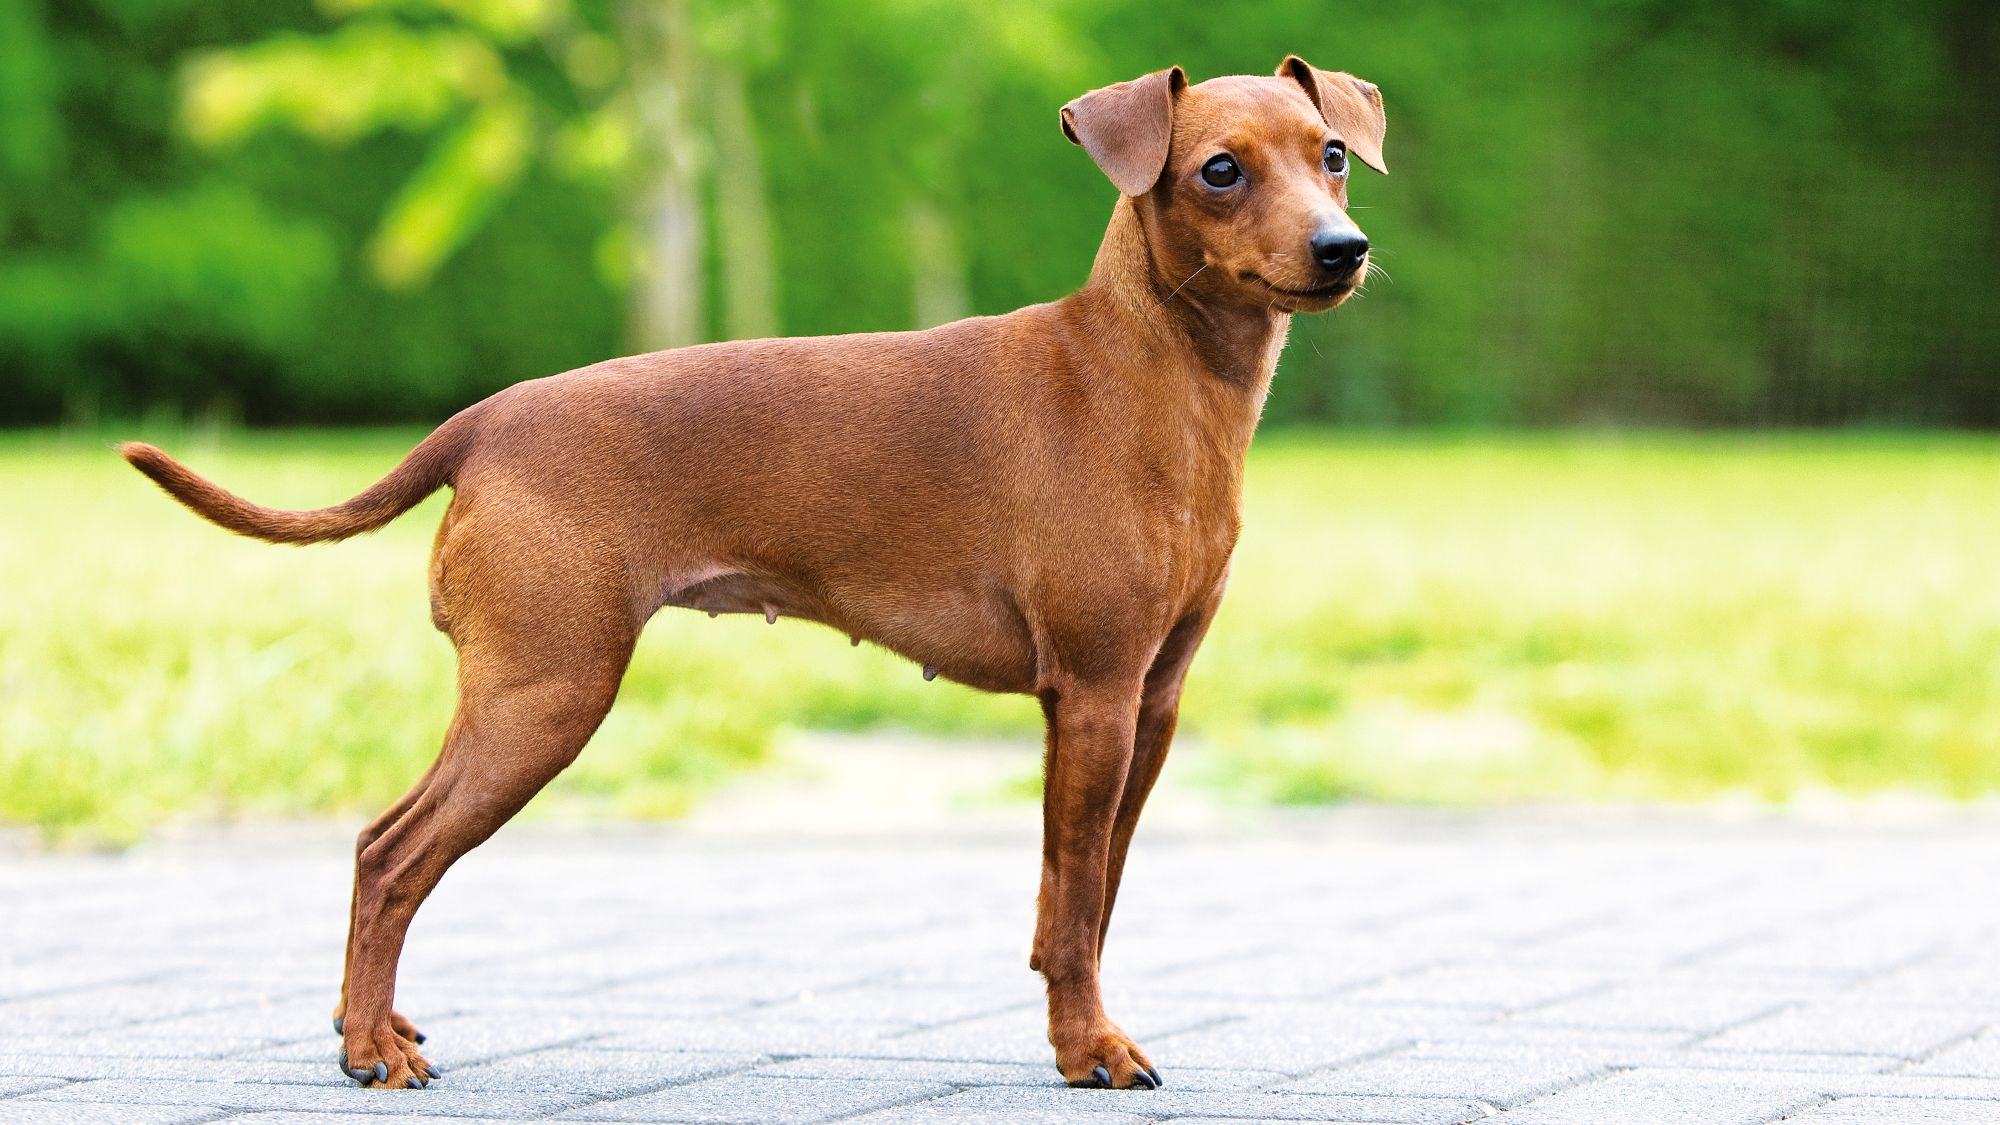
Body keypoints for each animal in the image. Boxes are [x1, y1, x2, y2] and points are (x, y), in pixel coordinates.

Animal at [121, 59, 1376, 1088]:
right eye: (1219, 170)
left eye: (1329, 154)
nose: (1342, 250)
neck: (1143, 374)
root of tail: (481, 424)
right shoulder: (1096, 696)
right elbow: (1074, 914)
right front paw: (1090, 1053)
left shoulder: (1147, 704)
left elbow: (1085, 898)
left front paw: (1083, 1029)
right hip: (544, 696)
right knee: (386, 855)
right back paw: (371, 1049)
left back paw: (366, 1028)